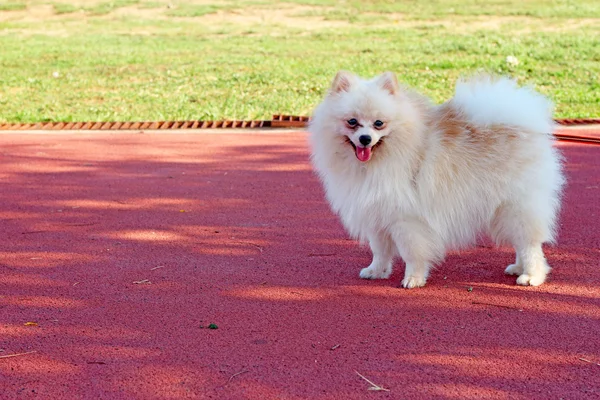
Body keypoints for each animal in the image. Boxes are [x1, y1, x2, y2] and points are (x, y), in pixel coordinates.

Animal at [308, 71, 564, 288]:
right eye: (352, 122)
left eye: (379, 123)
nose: (365, 139)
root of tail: (523, 125)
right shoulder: (377, 213)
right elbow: (379, 250)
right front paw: (376, 271)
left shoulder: (406, 219)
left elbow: (412, 253)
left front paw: (413, 279)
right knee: (521, 242)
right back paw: (518, 267)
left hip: (516, 205)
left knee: (530, 244)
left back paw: (532, 275)